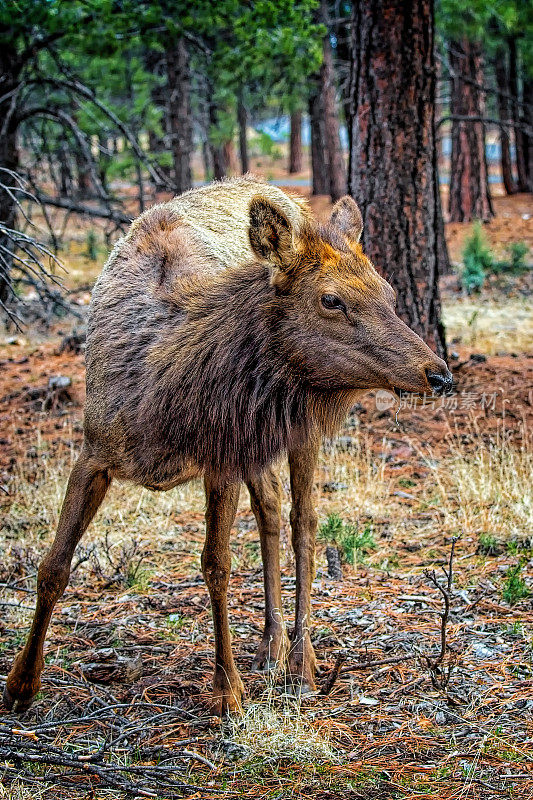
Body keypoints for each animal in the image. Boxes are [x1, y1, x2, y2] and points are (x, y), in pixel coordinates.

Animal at [5, 175, 454, 712]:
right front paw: (21, 683)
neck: (164, 402)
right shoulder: (96, 451)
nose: (438, 373)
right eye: (331, 300)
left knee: (305, 522)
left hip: (293, 428)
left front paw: (227, 691)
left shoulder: (220, 461)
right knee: (272, 508)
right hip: (255, 438)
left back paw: (301, 659)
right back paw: (270, 642)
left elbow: (215, 566)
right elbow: (53, 565)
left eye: (389, 292)